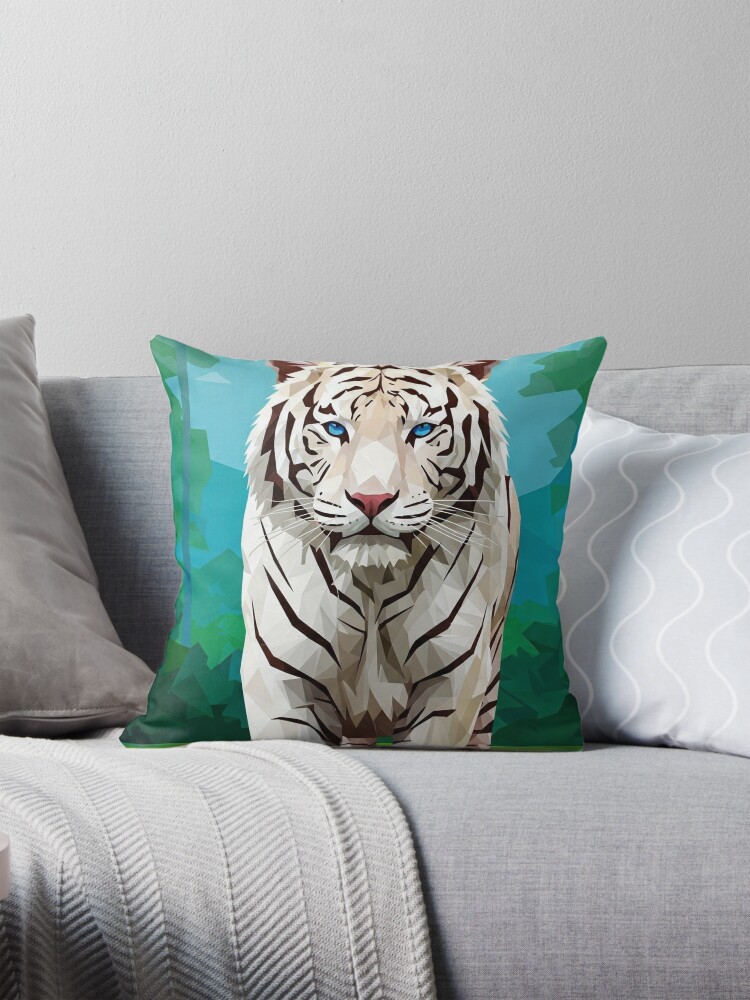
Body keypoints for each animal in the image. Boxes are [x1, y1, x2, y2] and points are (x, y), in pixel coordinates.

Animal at [239, 360, 520, 748]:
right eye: (335, 428)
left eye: (421, 429)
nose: (371, 500)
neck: (371, 578)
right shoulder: (283, 679)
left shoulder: (450, 683)